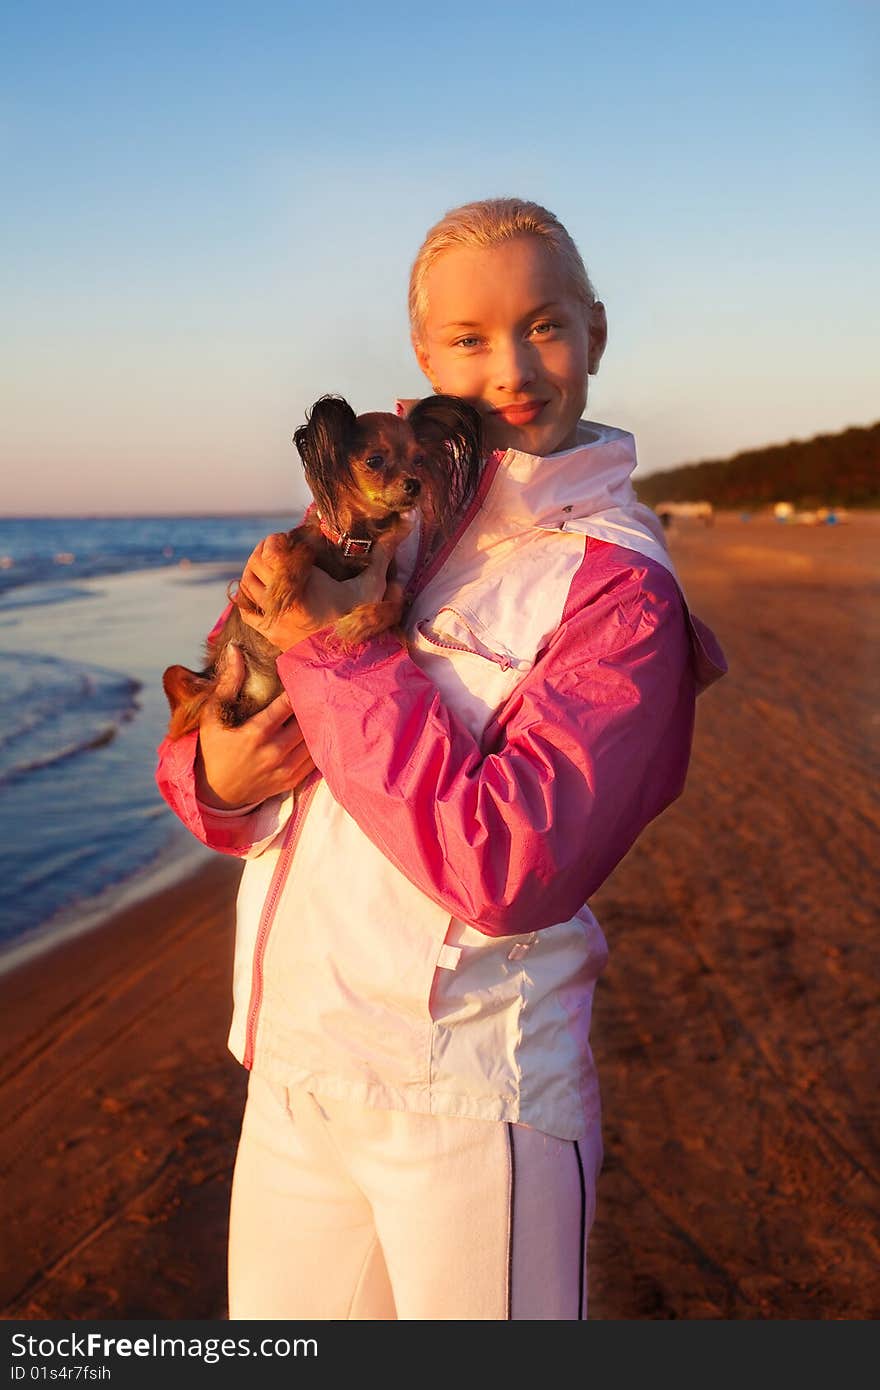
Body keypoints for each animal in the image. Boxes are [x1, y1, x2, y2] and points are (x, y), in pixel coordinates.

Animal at [161, 391, 483, 739]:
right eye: (374, 461)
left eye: (419, 460)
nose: (414, 484)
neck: (355, 541)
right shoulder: (285, 552)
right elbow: (300, 548)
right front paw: (283, 587)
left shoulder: (393, 589)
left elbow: (393, 608)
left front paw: (357, 623)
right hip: (179, 676)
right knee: (191, 711)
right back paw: (223, 708)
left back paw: (232, 710)